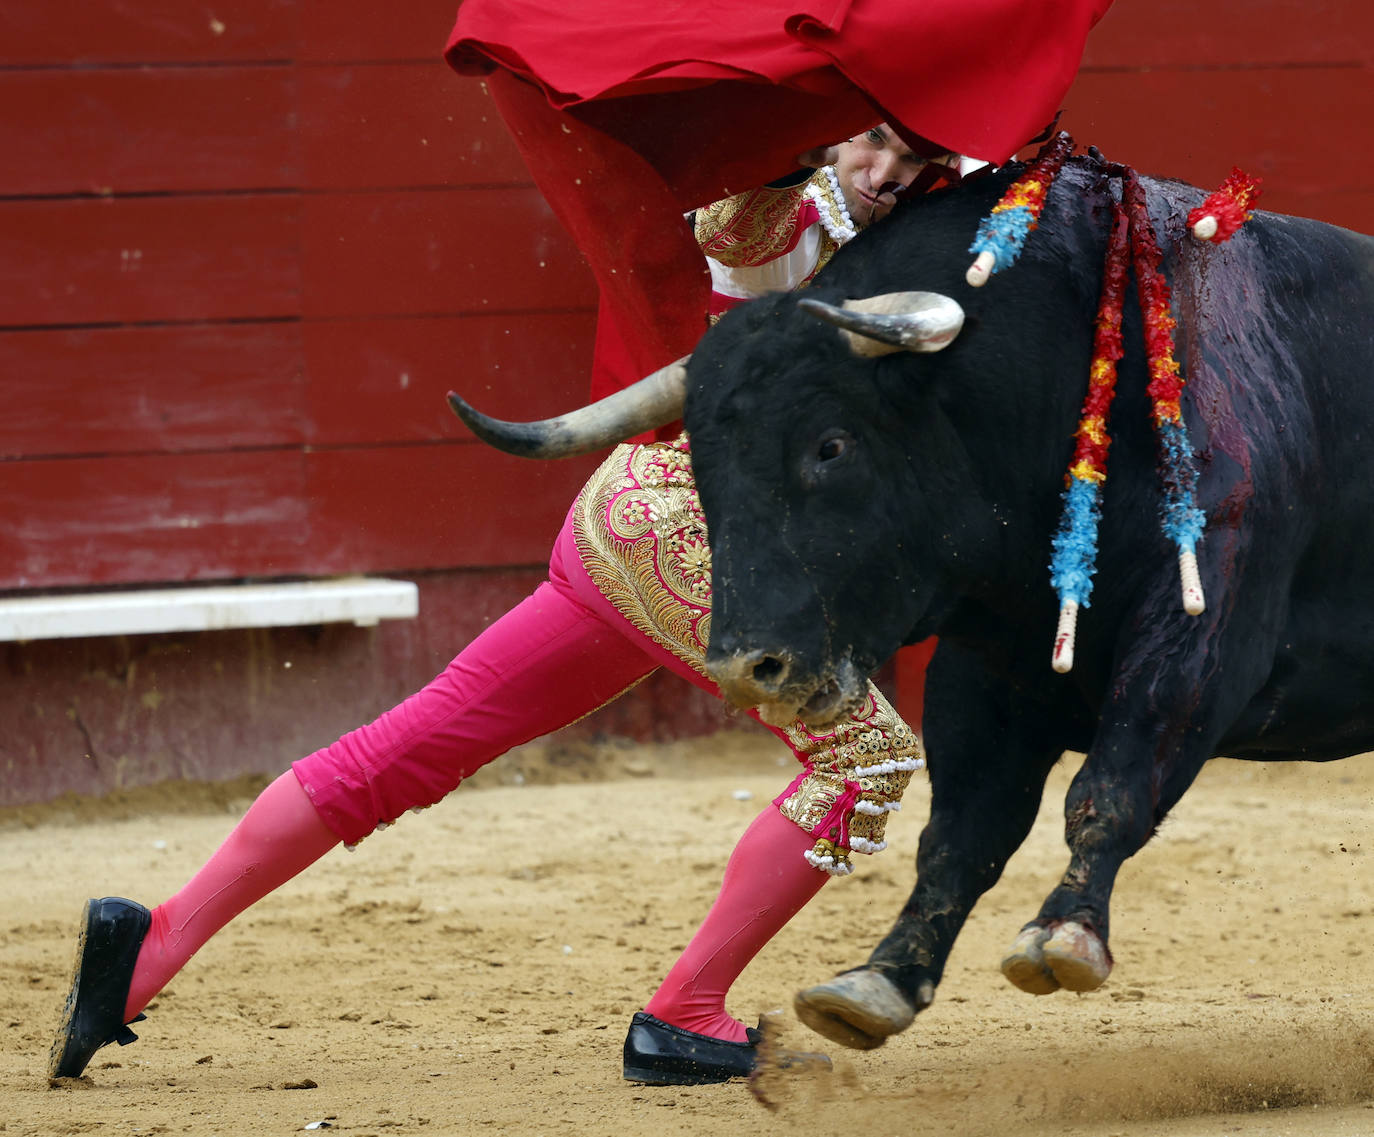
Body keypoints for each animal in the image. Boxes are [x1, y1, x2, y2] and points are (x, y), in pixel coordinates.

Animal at [450, 155, 1374, 1054]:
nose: (748, 669)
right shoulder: (987, 669)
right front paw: (880, 980)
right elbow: (963, 831)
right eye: (702, 464)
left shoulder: (1200, 628)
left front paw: (1064, 934)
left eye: (832, 444)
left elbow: (1111, 781)